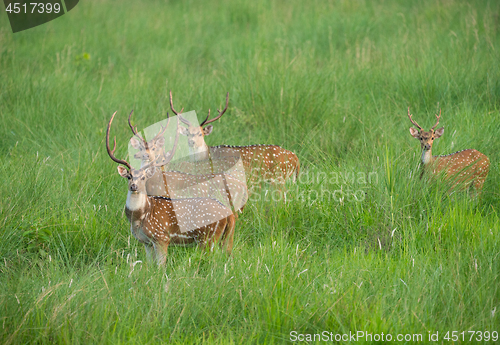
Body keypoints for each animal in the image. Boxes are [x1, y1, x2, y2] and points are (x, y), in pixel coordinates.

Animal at [106, 110, 238, 264]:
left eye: (144, 177)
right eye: (128, 176)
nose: (134, 186)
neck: (139, 218)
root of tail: (229, 214)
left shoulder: (162, 237)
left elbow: (160, 266)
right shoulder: (146, 242)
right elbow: (149, 265)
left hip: (207, 237)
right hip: (226, 237)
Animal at [168, 91, 300, 188]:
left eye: (201, 134)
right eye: (188, 134)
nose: (191, 142)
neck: (207, 155)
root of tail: (296, 158)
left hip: (279, 177)